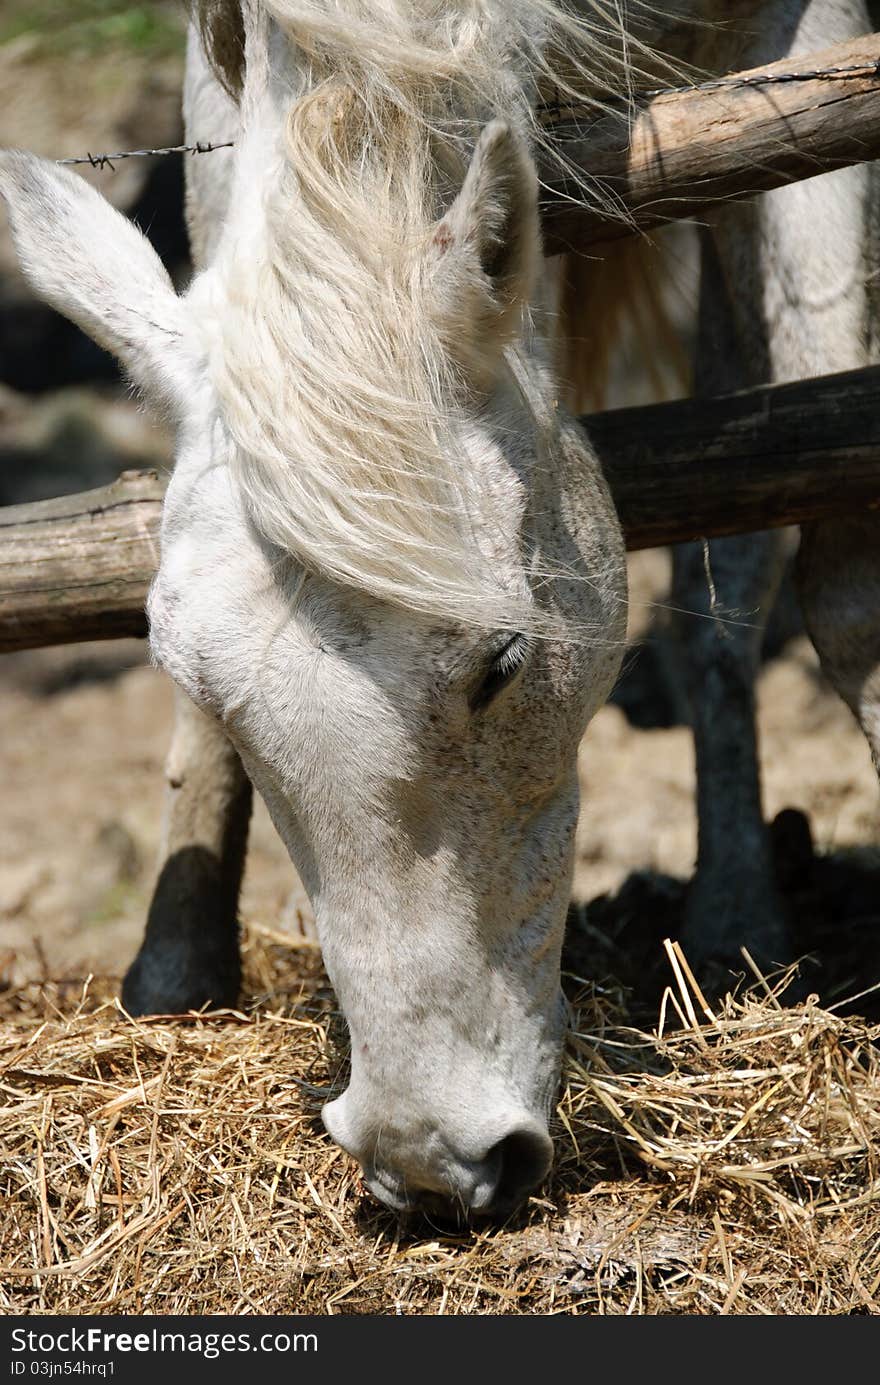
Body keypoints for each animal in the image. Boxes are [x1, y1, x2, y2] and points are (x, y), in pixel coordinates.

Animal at [1, 0, 880, 1213]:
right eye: (205, 692)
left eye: (503, 662)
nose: (428, 1156)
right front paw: (175, 972)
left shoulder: (805, 49)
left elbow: (827, 519)